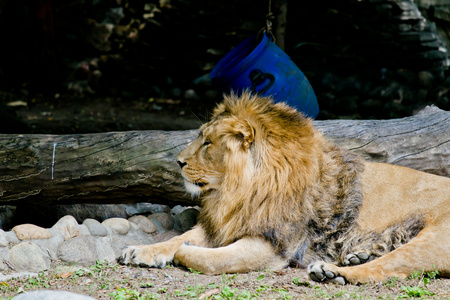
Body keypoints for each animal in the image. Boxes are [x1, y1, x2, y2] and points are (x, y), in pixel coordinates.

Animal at [118, 92, 450, 284]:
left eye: (208, 142)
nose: (178, 162)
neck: (236, 191)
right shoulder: (228, 222)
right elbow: (179, 237)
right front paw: (139, 250)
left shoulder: (271, 243)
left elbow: (203, 256)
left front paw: (183, 253)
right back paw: (357, 256)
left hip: (432, 242)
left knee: (389, 269)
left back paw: (333, 272)